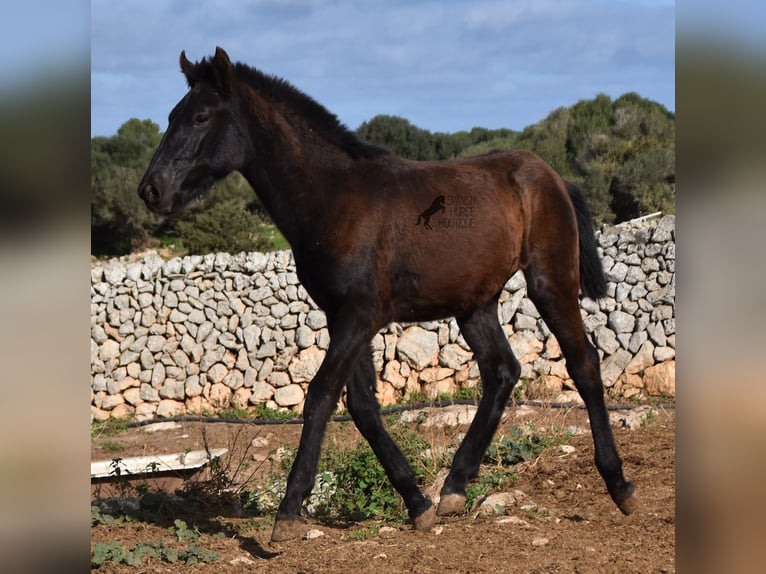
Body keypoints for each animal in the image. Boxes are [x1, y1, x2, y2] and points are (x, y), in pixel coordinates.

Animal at [140, 46, 640, 544]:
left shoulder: (361, 315)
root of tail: (553, 178)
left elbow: (321, 395)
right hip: (475, 304)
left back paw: (619, 485)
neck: (334, 197)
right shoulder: (342, 316)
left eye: (201, 117)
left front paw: (289, 511)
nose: (151, 190)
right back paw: (454, 488)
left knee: (583, 363)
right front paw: (417, 503)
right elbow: (362, 406)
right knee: (502, 372)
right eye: (171, 116)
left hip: (550, 283)